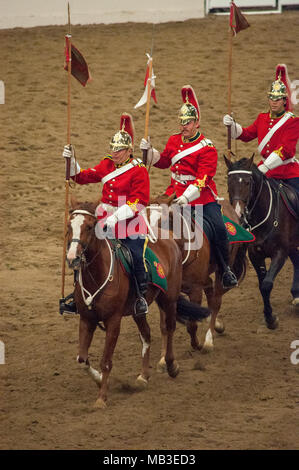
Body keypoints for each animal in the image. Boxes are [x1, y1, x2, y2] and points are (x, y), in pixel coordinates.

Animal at [65, 197, 209, 408]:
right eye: (69, 226)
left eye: (90, 227)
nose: (72, 258)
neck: (97, 274)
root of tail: (170, 238)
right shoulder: (86, 318)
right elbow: (82, 359)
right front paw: (99, 379)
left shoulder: (113, 321)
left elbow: (106, 361)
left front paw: (101, 398)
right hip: (137, 309)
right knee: (146, 334)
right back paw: (143, 376)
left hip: (169, 299)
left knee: (170, 328)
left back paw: (171, 365)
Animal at [148, 195, 248, 352]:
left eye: (162, 221)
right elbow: (164, 326)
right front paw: (164, 356)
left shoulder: (195, 290)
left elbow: (192, 325)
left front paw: (197, 344)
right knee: (210, 289)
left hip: (222, 270)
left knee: (216, 300)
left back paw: (209, 339)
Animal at [225, 156, 299, 328]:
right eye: (229, 183)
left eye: (247, 182)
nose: (237, 213)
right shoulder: (255, 255)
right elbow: (262, 285)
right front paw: (269, 316)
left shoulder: (280, 253)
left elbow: (267, 284)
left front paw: (271, 319)